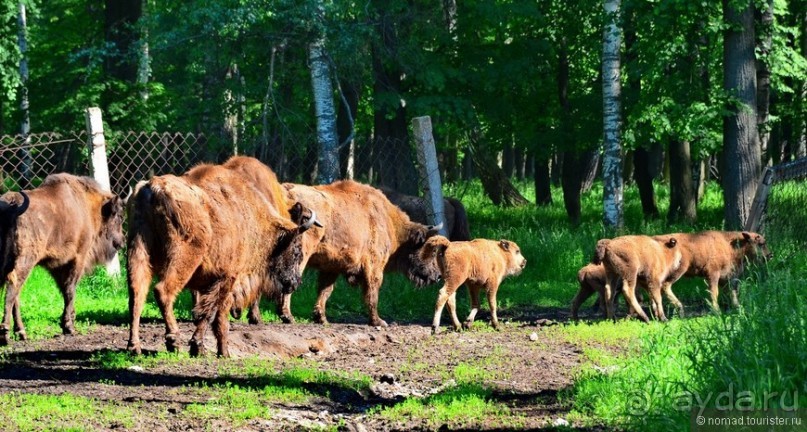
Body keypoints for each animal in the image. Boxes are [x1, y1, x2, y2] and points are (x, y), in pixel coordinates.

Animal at [0, 174, 124, 346]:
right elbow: (70, 289)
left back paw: (21, 332)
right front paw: (69, 326)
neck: (88, 206)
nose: (122, 242)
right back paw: (5, 333)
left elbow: (65, 290)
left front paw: (70, 319)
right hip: (25, 261)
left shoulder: (57, 265)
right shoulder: (78, 257)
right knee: (13, 288)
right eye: (118, 216)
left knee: (14, 292)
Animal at [126, 162, 318, 358]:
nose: (295, 283)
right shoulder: (227, 278)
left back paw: (134, 347)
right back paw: (174, 341)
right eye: (296, 251)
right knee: (162, 291)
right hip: (182, 260)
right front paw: (204, 348)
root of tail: (154, 188)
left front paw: (216, 350)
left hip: (137, 251)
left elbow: (216, 315)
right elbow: (211, 312)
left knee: (136, 295)